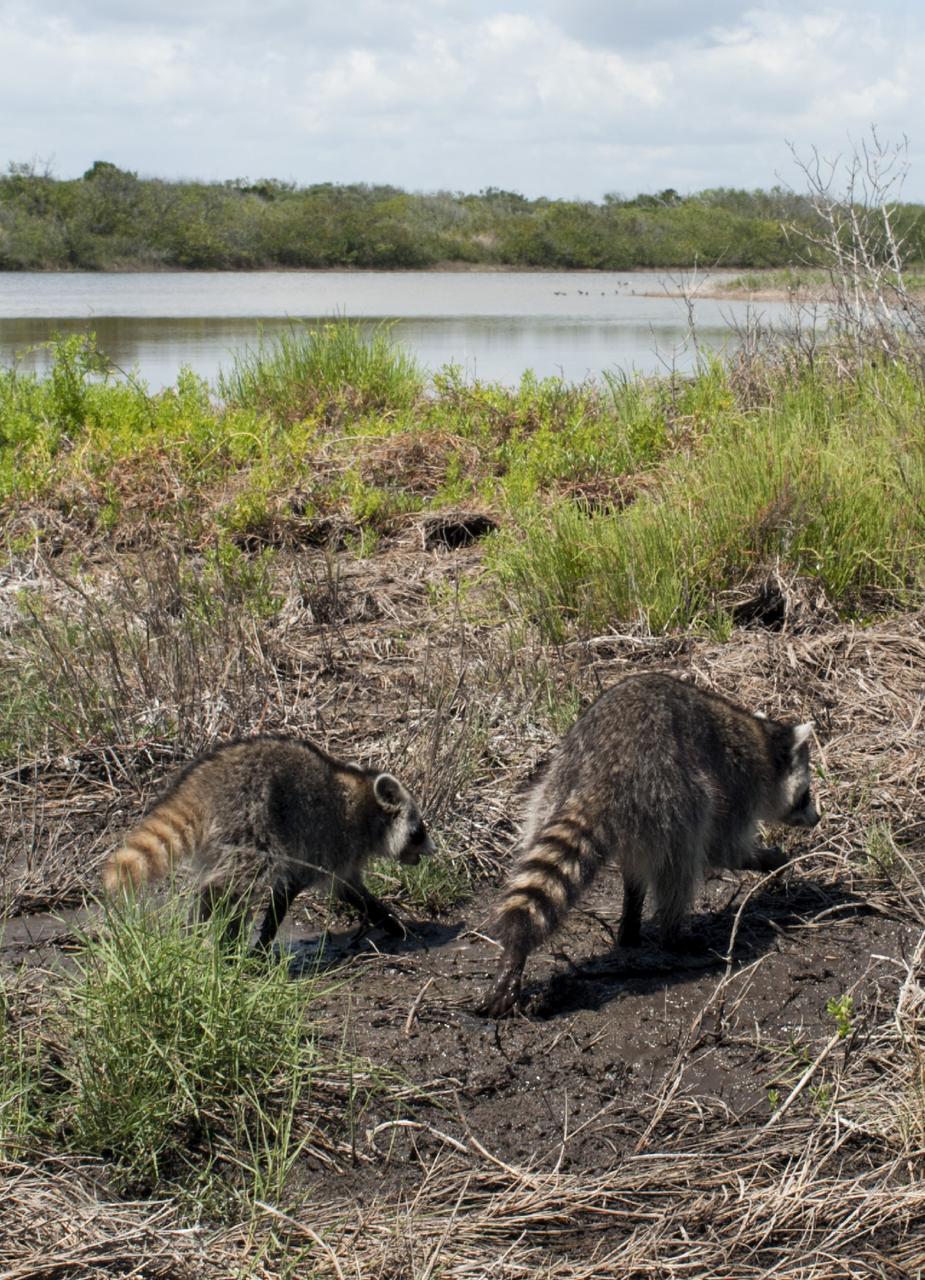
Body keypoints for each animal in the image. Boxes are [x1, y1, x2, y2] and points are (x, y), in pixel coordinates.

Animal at [102, 736, 433, 948]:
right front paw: (264, 941)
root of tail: (203, 781)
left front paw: (390, 920)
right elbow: (286, 889)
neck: (366, 805)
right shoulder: (328, 840)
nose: (432, 851)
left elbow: (349, 890)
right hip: (251, 818)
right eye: (419, 830)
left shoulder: (343, 857)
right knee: (239, 880)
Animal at [481, 673, 819, 1017]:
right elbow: (722, 849)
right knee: (681, 864)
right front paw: (772, 860)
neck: (761, 739)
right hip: (673, 792)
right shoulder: (739, 787)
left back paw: (629, 923)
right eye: (806, 794)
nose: (817, 819)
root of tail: (606, 768)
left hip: (560, 781)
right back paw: (674, 936)